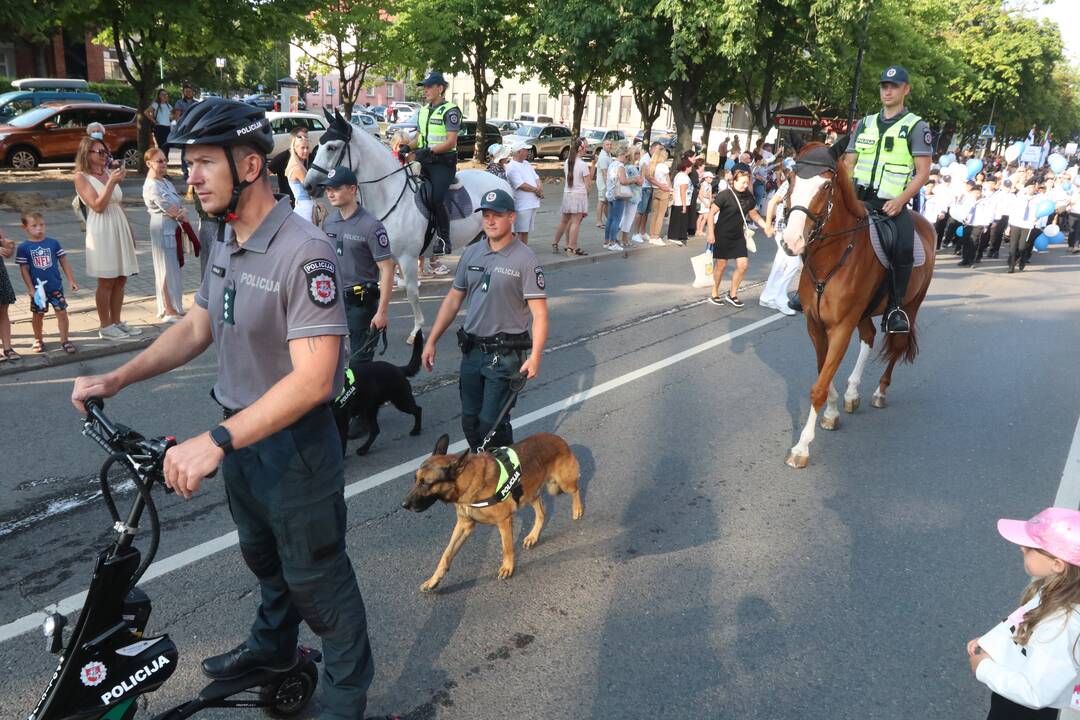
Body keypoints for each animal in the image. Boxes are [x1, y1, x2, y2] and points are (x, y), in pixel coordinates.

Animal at [306, 111, 511, 345]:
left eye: (331, 147)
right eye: (319, 144)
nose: (308, 185)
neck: (391, 196)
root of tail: (501, 182)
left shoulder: (408, 258)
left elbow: (412, 293)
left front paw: (416, 331)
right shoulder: (383, 257)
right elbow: (382, 289)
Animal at [401, 433, 583, 591]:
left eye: (426, 483)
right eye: (415, 480)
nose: (403, 505)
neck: (467, 482)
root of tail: (557, 438)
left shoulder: (504, 521)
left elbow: (507, 548)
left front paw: (507, 567)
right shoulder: (464, 525)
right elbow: (446, 555)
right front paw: (433, 580)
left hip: (563, 483)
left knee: (575, 489)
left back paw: (577, 509)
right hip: (529, 493)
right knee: (541, 513)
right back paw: (533, 536)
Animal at [781, 139, 933, 472]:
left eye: (826, 186)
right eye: (791, 177)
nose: (791, 241)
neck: (833, 254)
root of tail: (926, 224)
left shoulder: (840, 327)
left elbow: (819, 386)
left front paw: (801, 447)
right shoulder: (816, 326)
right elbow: (823, 373)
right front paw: (833, 412)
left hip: (910, 307)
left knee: (896, 345)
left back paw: (879, 392)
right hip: (863, 314)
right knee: (868, 337)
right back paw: (852, 393)